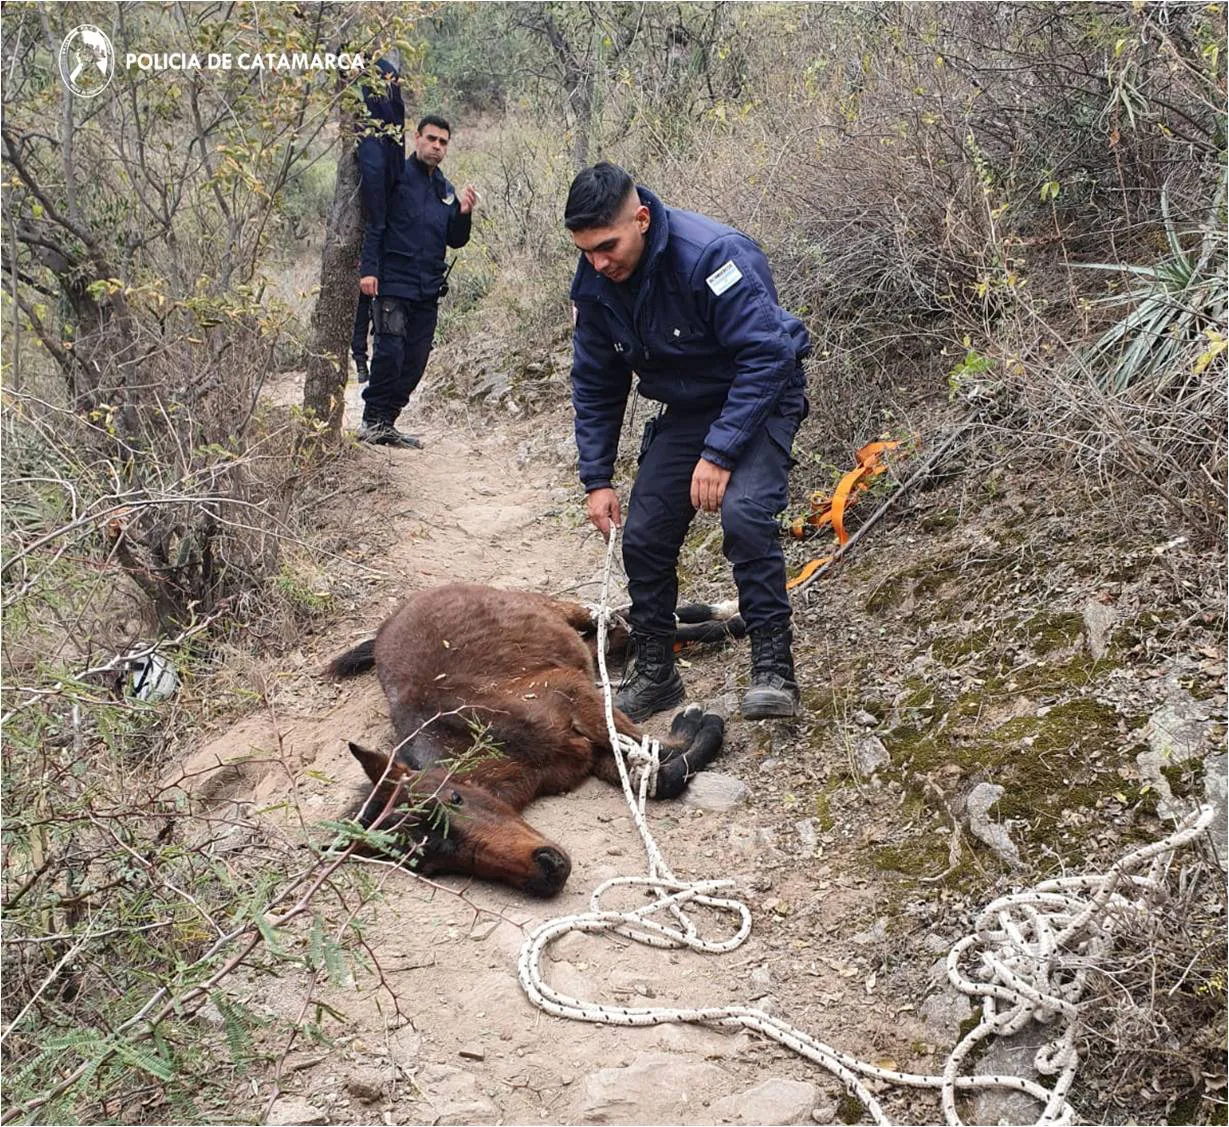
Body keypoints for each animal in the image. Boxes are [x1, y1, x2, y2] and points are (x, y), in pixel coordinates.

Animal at [326, 583, 728, 897]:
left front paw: (697, 720)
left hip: (549, 607)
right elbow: (656, 772)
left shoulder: (575, 695)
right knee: (615, 634)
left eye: (454, 798)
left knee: (609, 617)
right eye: (431, 864)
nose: (548, 870)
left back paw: (720, 614)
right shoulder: (587, 752)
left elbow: (660, 756)